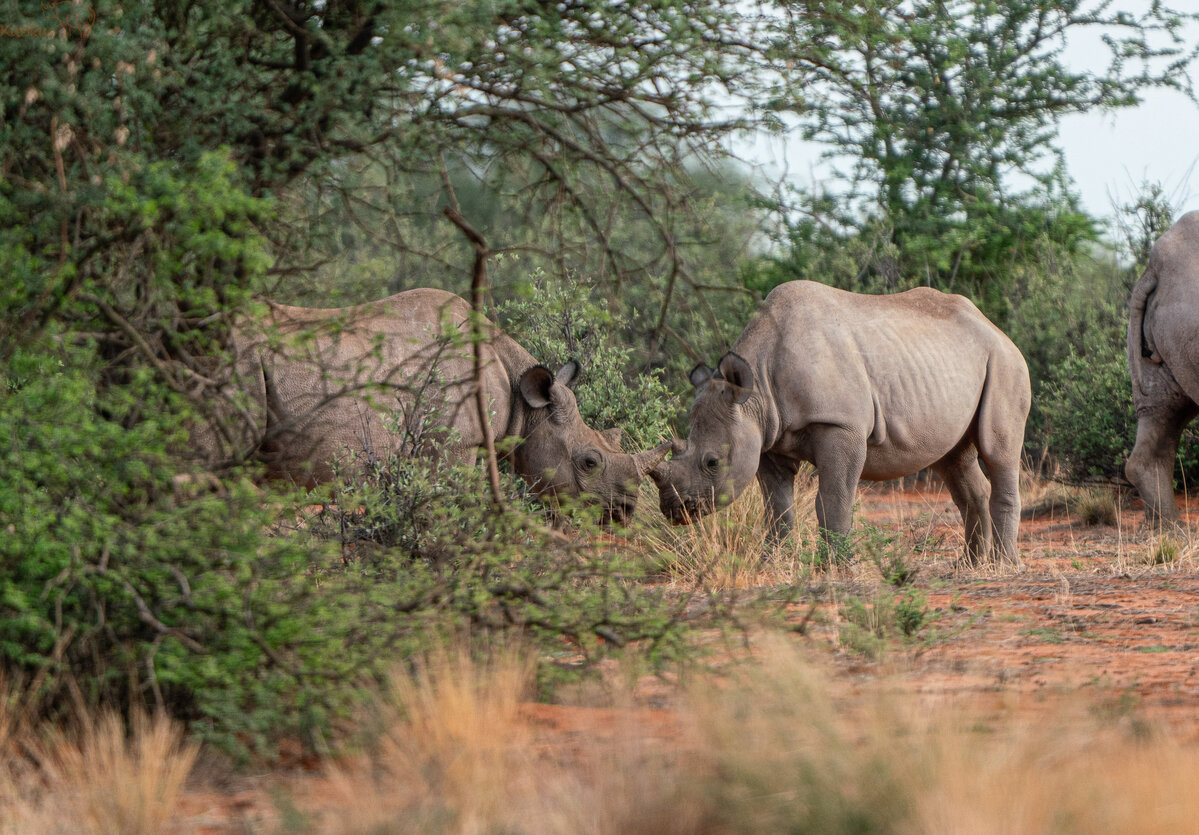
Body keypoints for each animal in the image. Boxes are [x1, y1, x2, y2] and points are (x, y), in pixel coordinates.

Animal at [651, 280, 1031, 566]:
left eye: (713, 462)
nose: (674, 510)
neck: (756, 389)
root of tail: (995, 328)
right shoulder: (766, 436)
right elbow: (778, 509)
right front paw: (772, 564)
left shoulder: (839, 425)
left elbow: (833, 500)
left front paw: (835, 567)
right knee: (954, 459)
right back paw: (971, 565)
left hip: (1005, 362)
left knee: (998, 451)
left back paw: (1004, 565)